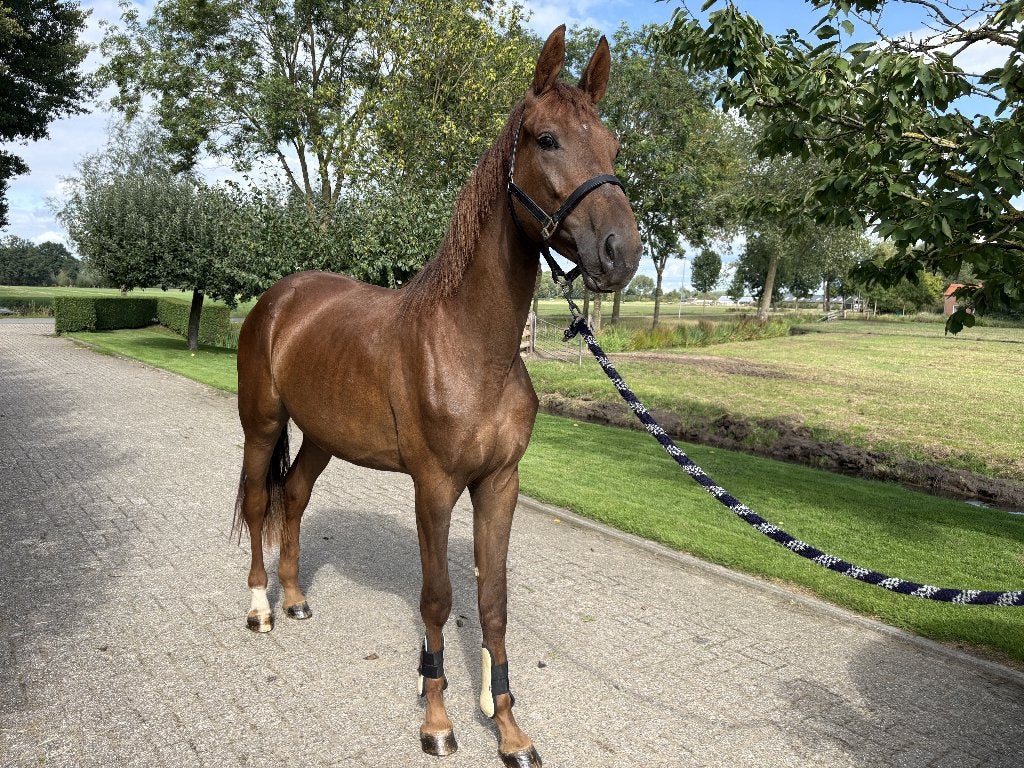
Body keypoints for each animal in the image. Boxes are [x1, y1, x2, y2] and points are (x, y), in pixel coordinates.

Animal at [232, 25, 642, 767]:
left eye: (614, 143)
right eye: (546, 139)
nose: (619, 252)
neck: (472, 347)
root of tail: (280, 300)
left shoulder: (499, 483)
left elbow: (492, 603)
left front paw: (509, 730)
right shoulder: (434, 486)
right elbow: (436, 599)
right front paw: (437, 721)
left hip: (323, 436)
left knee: (295, 497)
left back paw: (298, 597)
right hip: (262, 423)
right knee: (258, 502)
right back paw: (260, 607)